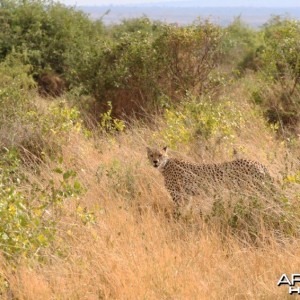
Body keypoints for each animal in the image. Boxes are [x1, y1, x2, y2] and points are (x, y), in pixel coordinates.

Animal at [146, 146, 274, 205]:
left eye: (160, 155)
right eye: (151, 155)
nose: (155, 162)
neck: (165, 165)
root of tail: (257, 162)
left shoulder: (179, 195)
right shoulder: (186, 195)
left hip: (254, 190)